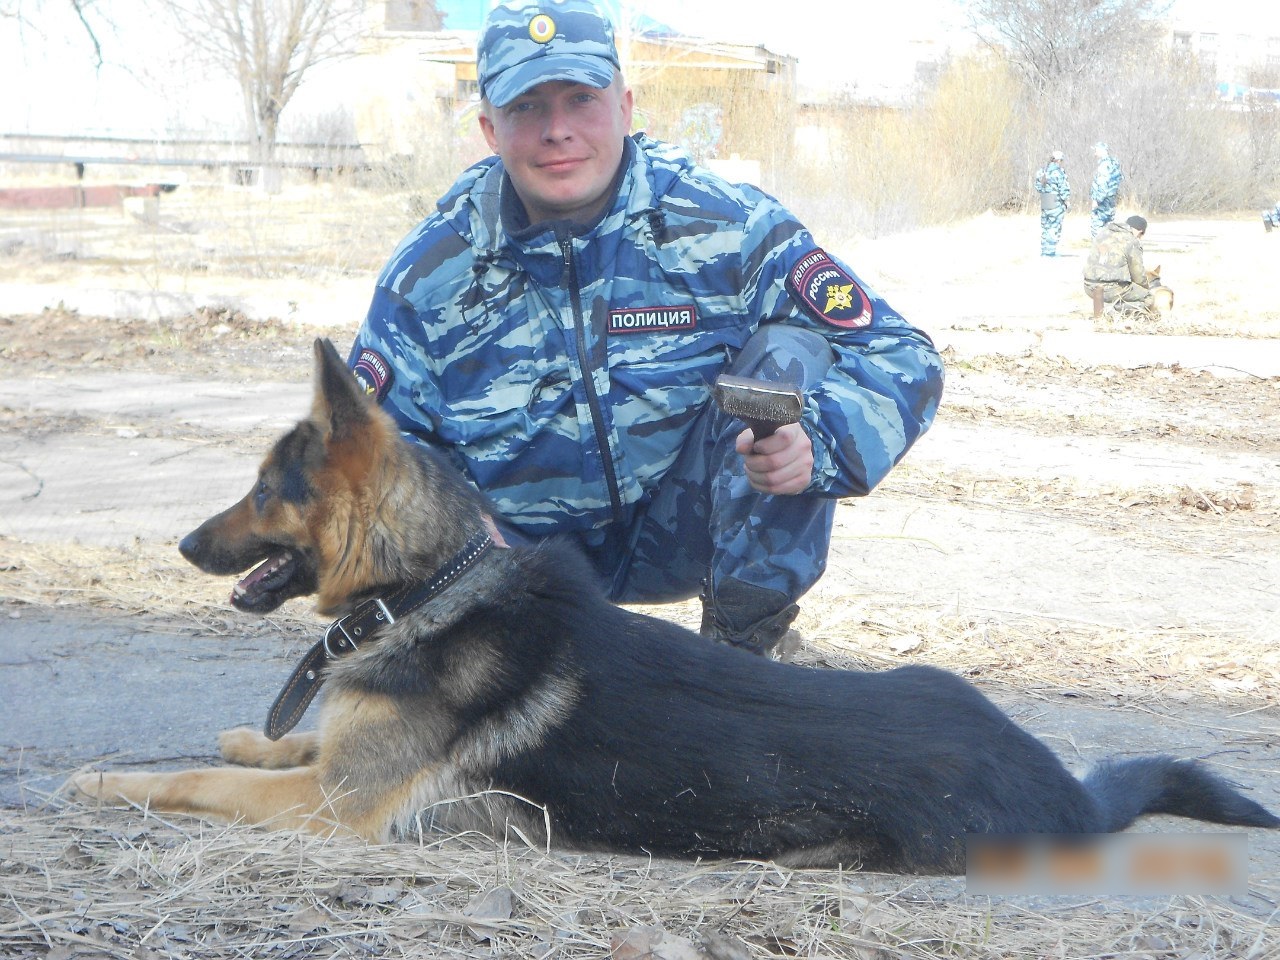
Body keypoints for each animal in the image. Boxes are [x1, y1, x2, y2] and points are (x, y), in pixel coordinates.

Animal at [74, 343, 1274, 875]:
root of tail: (1062, 787)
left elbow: (198, 781)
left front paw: (108, 780)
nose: (183, 546)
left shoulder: (337, 810)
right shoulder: (331, 769)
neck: (430, 586)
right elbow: (275, 745)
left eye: (263, 491)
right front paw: (248, 730)